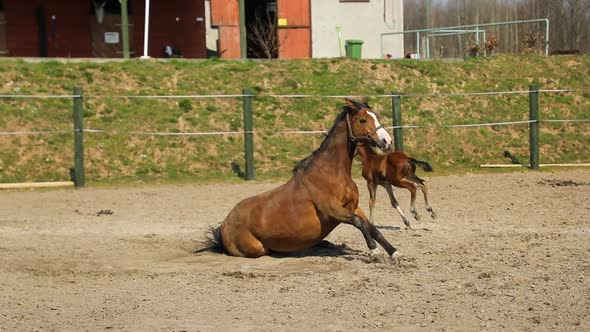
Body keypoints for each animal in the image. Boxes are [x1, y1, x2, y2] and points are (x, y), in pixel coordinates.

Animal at [210, 98, 400, 260]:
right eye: (362, 120)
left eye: (376, 117)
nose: (387, 141)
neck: (332, 173)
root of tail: (224, 226)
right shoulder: (333, 210)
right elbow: (359, 223)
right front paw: (374, 252)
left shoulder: (352, 206)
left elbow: (372, 228)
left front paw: (394, 252)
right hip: (257, 249)